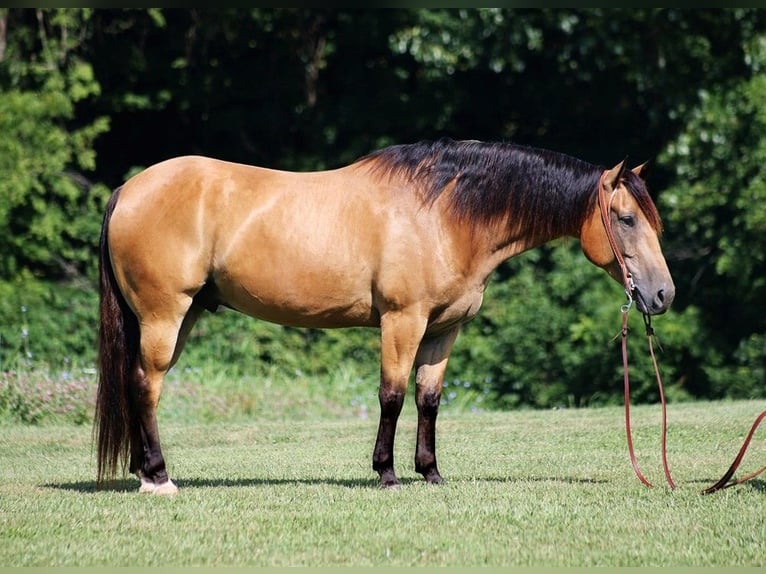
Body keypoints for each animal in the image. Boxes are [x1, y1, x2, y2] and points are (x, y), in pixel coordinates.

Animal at [95, 138, 675, 494]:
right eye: (625, 219)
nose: (662, 294)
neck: (444, 214)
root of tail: (128, 189)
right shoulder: (403, 321)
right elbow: (392, 395)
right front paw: (387, 473)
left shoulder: (443, 330)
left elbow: (428, 399)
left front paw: (431, 473)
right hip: (165, 315)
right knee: (146, 384)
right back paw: (159, 477)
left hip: (182, 315)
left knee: (139, 384)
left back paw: (142, 471)